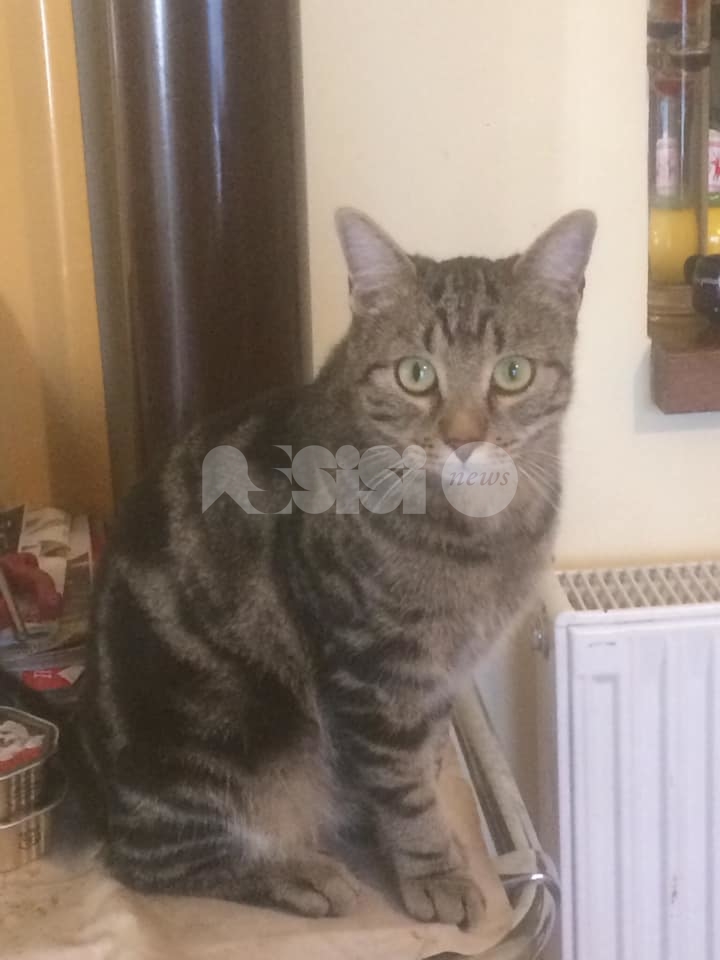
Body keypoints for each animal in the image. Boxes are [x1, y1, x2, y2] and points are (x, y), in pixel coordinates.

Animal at [74, 207, 595, 928]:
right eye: (415, 374)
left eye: (513, 372)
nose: (463, 439)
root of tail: (101, 795)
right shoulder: (374, 671)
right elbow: (404, 788)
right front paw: (434, 871)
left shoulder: (434, 680)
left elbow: (422, 764)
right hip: (219, 733)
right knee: (153, 862)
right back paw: (299, 873)